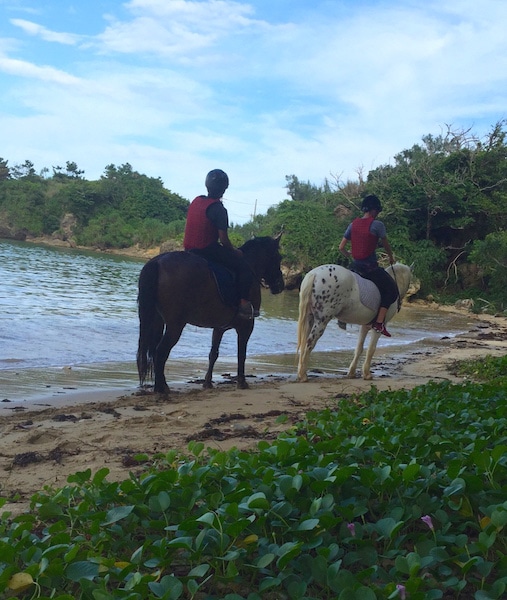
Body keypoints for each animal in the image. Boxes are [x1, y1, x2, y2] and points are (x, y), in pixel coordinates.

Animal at [135, 234, 286, 394]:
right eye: (278, 257)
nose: (280, 285)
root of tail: (157, 262)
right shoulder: (247, 326)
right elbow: (241, 354)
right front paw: (242, 381)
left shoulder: (219, 327)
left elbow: (213, 354)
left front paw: (207, 382)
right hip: (175, 325)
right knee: (161, 352)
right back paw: (160, 388)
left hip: (157, 320)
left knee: (155, 351)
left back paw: (162, 385)